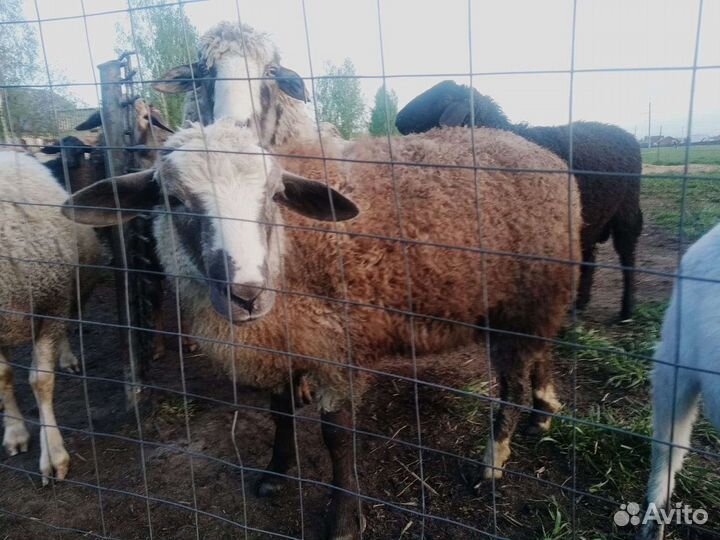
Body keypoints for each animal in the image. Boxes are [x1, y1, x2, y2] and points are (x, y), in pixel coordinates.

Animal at [0, 151, 103, 485]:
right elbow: (4, 376)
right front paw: (15, 432)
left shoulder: (53, 306)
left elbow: (41, 381)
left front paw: (54, 455)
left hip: (71, 293)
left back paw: (68, 358)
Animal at [64, 118, 581, 539]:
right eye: (173, 200)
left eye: (274, 194)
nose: (247, 294)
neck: (290, 251)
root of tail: (539, 151)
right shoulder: (285, 342)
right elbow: (280, 412)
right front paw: (276, 472)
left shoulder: (340, 346)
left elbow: (337, 436)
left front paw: (344, 519)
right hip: (535, 302)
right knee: (541, 354)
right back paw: (543, 410)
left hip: (527, 299)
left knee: (512, 384)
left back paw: (492, 462)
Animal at [396, 80, 643, 321]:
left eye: (445, 99)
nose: (398, 120)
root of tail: (626, 134)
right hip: (592, 218)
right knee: (590, 255)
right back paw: (580, 304)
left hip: (626, 210)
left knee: (627, 255)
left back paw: (626, 310)